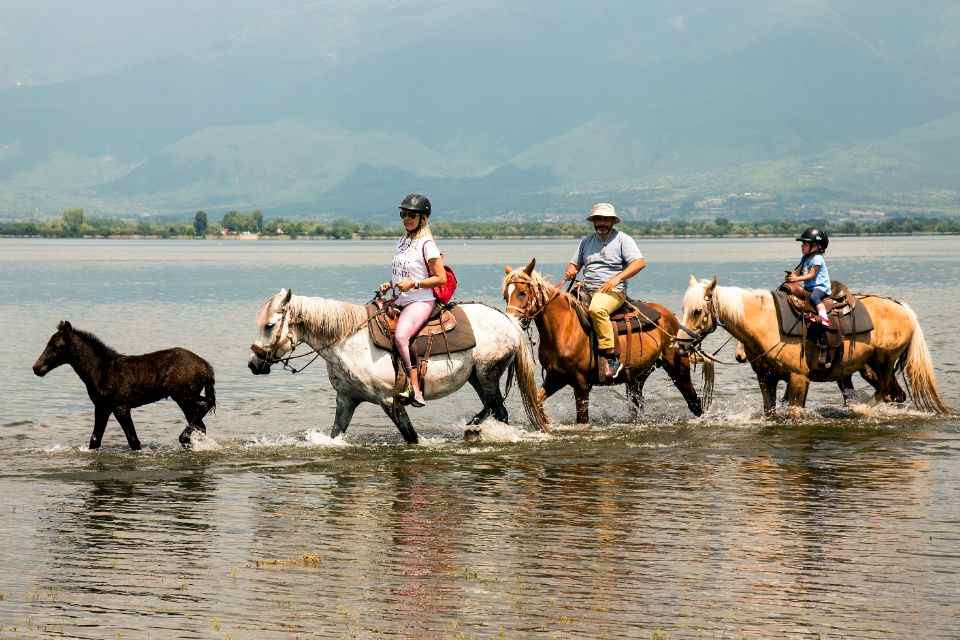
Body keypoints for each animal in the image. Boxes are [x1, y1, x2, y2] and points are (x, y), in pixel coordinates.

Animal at [248, 288, 548, 442]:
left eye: (270, 325)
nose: (253, 364)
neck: (348, 340)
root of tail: (508, 321)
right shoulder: (346, 399)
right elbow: (336, 434)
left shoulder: (389, 400)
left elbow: (411, 436)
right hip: (476, 377)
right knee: (492, 408)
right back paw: (472, 426)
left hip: (487, 374)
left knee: (500, 410)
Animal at [502, 260, 704, 424]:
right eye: (506, 295)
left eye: (522, 293)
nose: (511, 321)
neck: (563, 328)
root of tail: (671, 316)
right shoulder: (556, 377)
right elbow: (537, 402)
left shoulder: (581, 384)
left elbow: (582, 420)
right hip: (637, 377)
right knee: (637, 406)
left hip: (678, 368)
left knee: (694, 401)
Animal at [680, 276, 948, 416]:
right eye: (683, 308)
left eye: (697, 311)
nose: (682, 346)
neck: (767, 323)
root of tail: (903, 309)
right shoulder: (766, 379)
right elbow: (770, 411)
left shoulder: (799, 378)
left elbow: (794, 413)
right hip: (868, 368)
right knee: (894, 394)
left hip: (883, 362)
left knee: (884, 392)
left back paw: (861, 410)